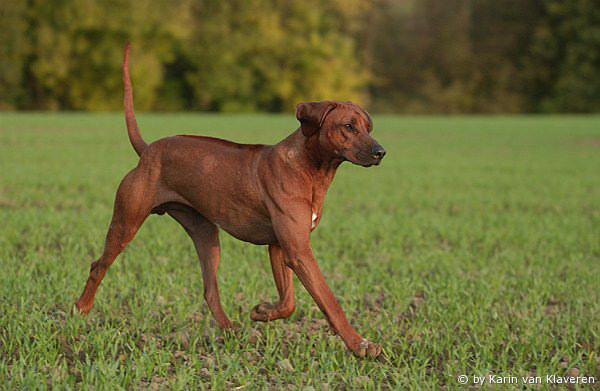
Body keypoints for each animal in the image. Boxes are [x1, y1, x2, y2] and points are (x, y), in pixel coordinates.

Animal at [75, 43, 386, 358]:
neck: (309, 167)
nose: (380, 152)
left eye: (368, 127)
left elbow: (289, 302)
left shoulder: (280, 246)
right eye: (348, 126)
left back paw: (231, 332)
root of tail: (148, 149)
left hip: (206, 235)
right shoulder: (298, 250)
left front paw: (262, 311)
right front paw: (360, 344)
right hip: (126, 222)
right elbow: (329, 301)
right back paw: (81, 310)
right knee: (98, 265)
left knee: (210, 290)